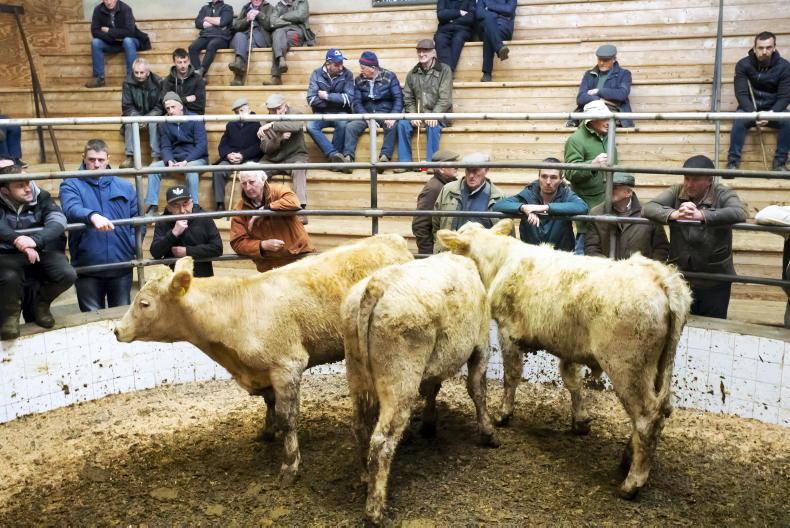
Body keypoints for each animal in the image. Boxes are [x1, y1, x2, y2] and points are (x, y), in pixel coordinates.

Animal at [114, 234, 413, 485]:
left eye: (144, 303)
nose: (117, 330)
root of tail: (390, 238)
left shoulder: (287, 366)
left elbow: (287, 417)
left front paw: (290, 465)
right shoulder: (261, 371)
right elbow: (269, 404)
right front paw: (267, 432)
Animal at [341, 252, 500, 525]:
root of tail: (376, 285)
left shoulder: (435, 362)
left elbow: (433, 388)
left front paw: (428, 423)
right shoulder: (481, 345)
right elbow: (477, 389)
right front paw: (488, 432)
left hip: (356, 372)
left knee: (361, 428)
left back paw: (364, 476)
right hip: (400, 380)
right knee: (382, 441)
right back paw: (375, 508)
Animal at [437, 219, 692, 499]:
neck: (501, 261)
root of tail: (661, 278)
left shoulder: (507, 332)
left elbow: (512, 376)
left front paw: (503, 414)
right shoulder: (570, 347)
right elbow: (572, 381)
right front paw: (580, 421)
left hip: (628, 367)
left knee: (647, 417)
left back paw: (632, 481)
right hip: (660, 367)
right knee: (662, 409)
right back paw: (628, 458)